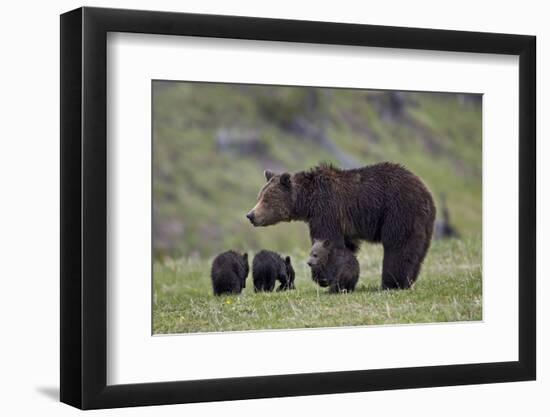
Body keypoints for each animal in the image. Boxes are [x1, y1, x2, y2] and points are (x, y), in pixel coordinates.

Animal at [248, 162, 438, 290]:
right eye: (259, 196)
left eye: (266, 199)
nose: (250, 215)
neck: (307, 203)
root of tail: (426, 192)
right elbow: (347, 247)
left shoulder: (327, 211)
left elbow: (327, 240)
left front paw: (322, 276)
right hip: (422, 222)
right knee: (416, 251)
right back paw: (407, 280)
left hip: (398, 210)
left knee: (398, 246)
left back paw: (391, 283)